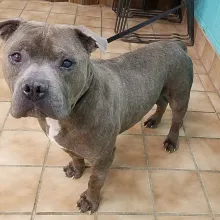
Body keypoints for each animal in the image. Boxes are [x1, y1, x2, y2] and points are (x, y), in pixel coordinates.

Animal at [0, 18, 192, 213]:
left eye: (67, 63)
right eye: (15, 56)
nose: (34, 87)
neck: (75, 108)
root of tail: (176, 44)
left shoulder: (103, 157)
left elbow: (95, 181)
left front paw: (89, 200)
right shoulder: (65, 144)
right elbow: (75, 156)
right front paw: (76, 169)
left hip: (179, 95)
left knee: (177, 119)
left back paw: (171, 141)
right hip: (158, 90)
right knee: (161, 103)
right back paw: (154, 120)